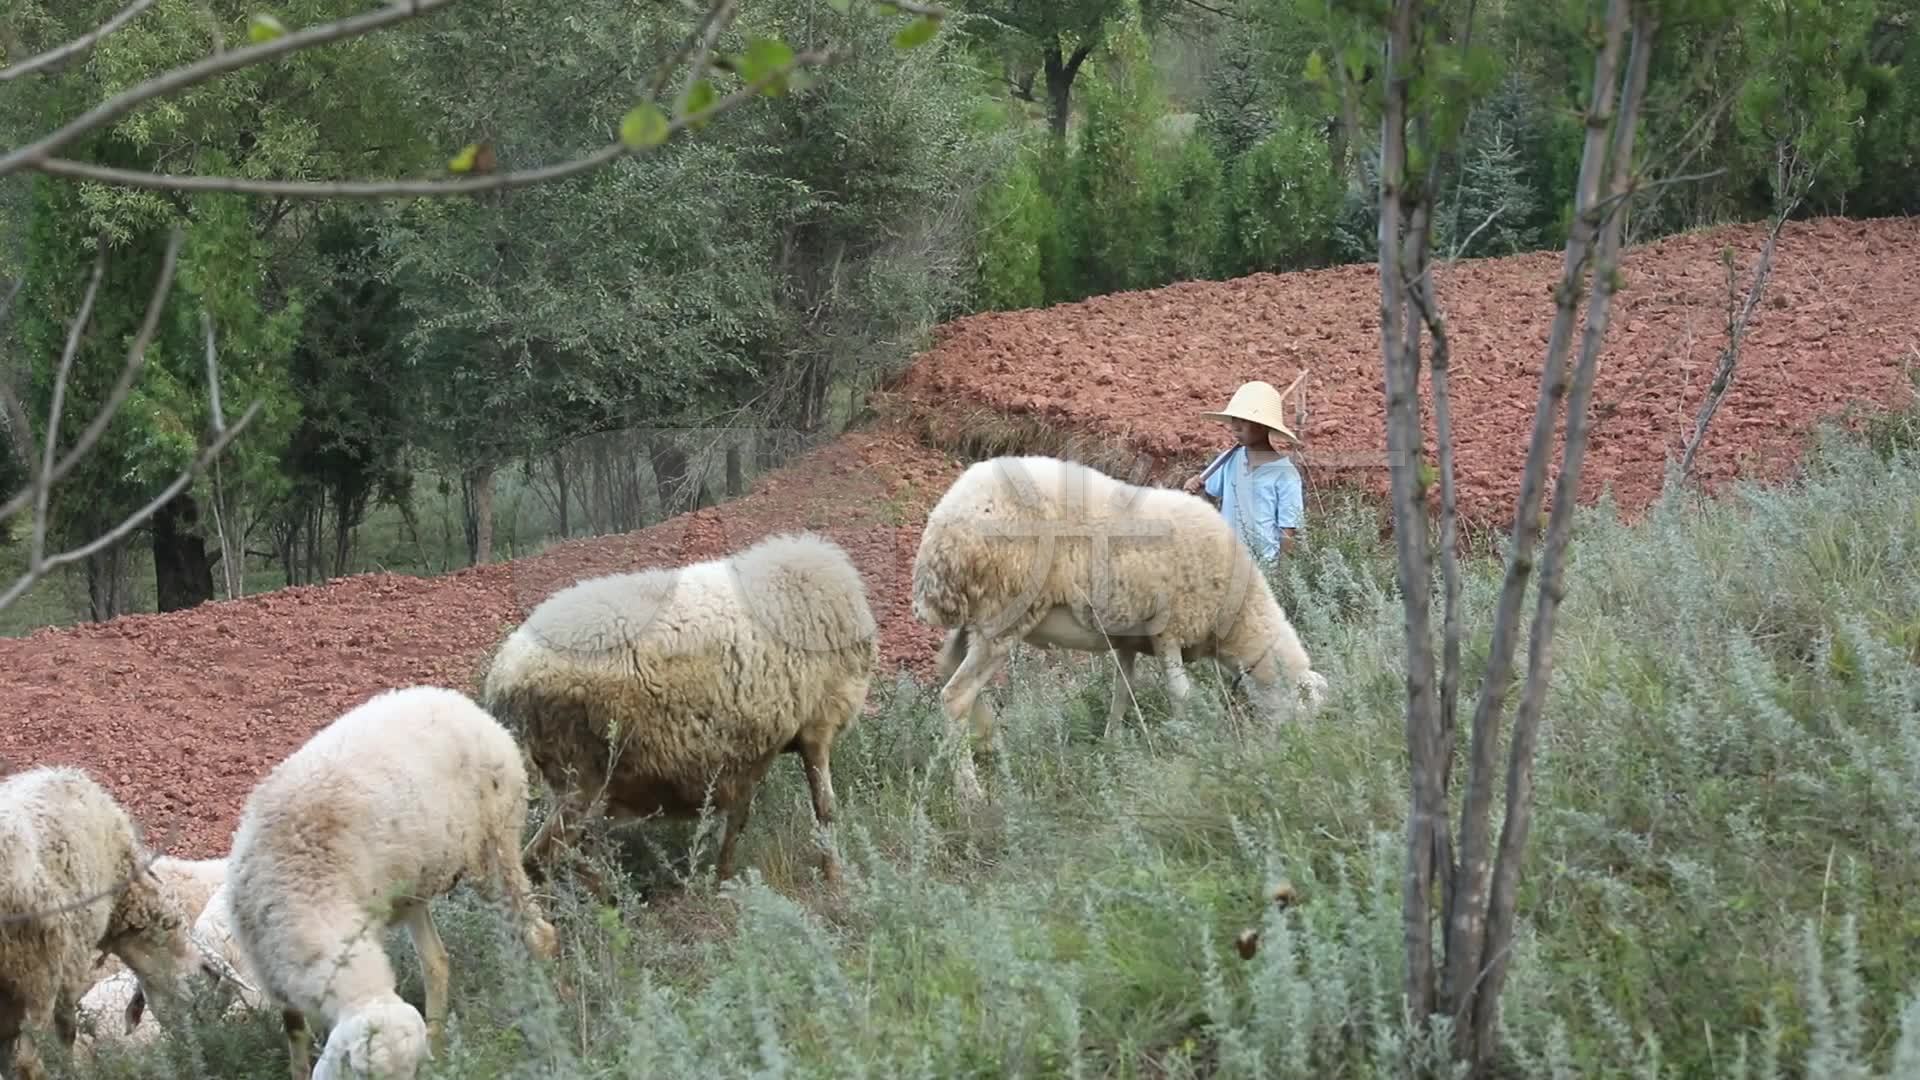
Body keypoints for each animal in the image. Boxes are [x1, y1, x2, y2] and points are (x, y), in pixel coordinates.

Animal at [0, 764, 211, 1076]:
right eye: (194, 1005)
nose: (194, 1054)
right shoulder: (70, 964)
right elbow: (66, 1035)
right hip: (39, 975)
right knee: (29, 1060)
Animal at [223, 680, 560, 1076]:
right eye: (364, 1075)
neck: (307, 892)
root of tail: (468, 707)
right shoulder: (271, 974)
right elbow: (295, 1035)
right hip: (416, 885)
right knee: (437, 961)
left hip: (495, 846)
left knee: (538, 932)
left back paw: (552, 1006)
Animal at [491, 526, 887, 887]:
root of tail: (502, 676)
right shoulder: (817, 727)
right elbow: (825, 809)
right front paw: (835, 878)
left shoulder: (751, 748)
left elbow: (738, 818)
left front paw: (723, 880)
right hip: (580, 777)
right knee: (539, 859)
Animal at [906, 449, 1328, 795]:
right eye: (1302, 713)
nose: (1298, 756)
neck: (1238, 617)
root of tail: (944, 527)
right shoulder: (1170, 628)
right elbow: (1180, 693)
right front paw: (1189, 744)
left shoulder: (1128, 638)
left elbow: (1122, 692)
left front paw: (1112, 745)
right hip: (1005, 614)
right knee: (955, 695)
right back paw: (970, 790)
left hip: (974, 620)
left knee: (948, 670)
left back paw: (991, 741)